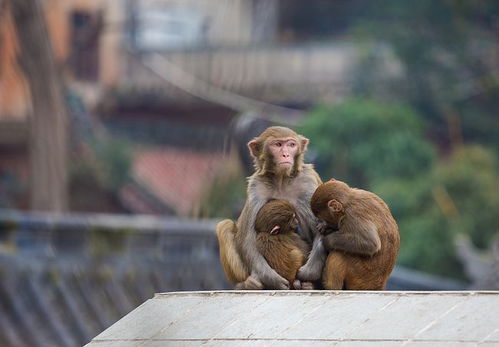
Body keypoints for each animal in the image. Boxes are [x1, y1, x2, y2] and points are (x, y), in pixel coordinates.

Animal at [215, 126, 324, 290]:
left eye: (291, 145)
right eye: (277, 145)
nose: (285, 154)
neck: (282, 179)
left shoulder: (307, 182)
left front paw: (308, 273)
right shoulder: (256, 187)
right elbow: (247, 239)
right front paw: (272, 278)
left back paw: (308, 285)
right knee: (225, 226)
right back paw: (248, 284)